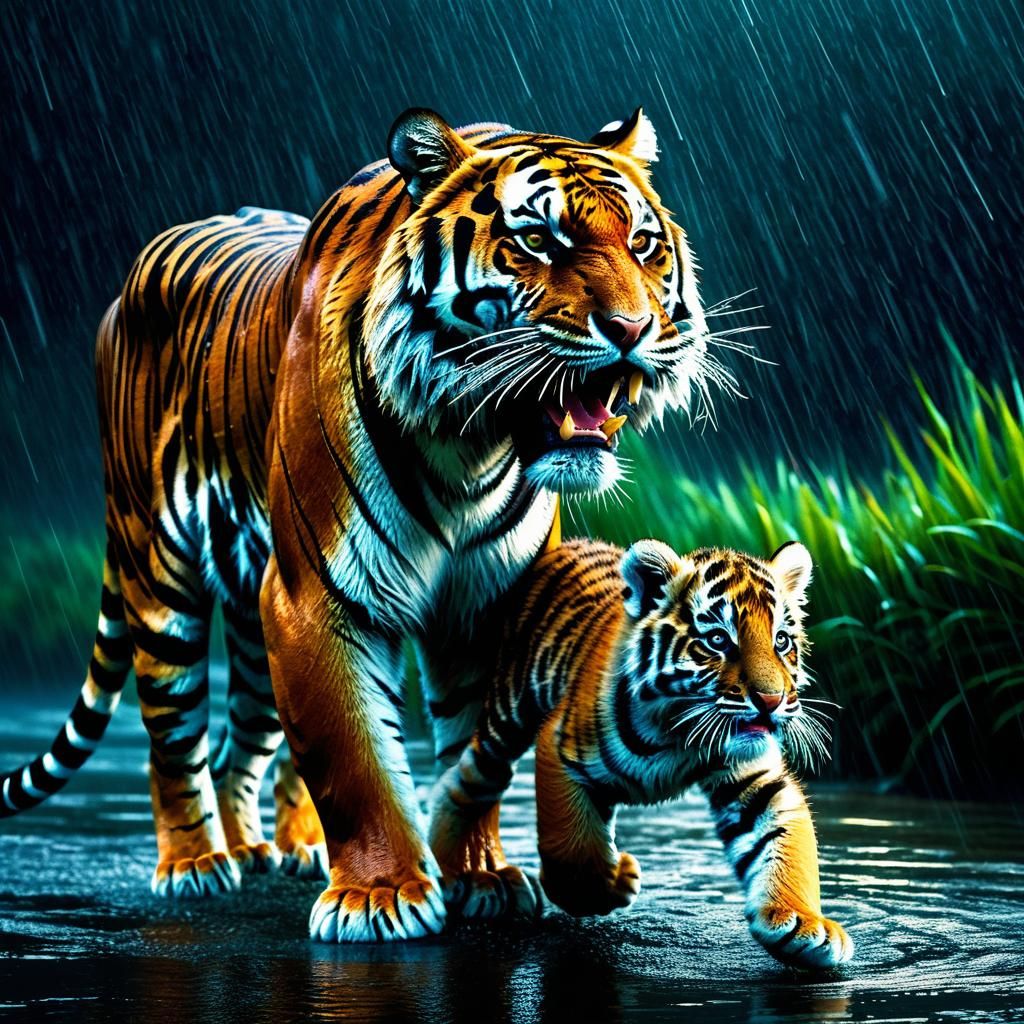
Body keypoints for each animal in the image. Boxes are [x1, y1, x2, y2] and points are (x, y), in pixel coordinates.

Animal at [0, 109, 712, 942]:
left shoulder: (484, 604)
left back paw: (273, 850)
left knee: (241, 742)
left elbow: (475, 753)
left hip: (250, 614)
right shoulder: (315, 597)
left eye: (643, 244)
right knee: (172, 736)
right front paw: (381, 895)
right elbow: (352, 754)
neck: (471, 444)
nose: (631, 328)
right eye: (538, 239)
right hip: (160, 572)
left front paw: (478, 873)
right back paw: (196, 865)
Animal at [430, 538, 854, 969]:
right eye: (718, 640)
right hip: (508, 716)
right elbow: (571, 851)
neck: (679, 732)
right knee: (465, 779)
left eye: (781, 640)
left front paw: (804, 924)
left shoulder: (755, 776)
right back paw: (458, 876)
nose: (771, 700)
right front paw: (613, 884)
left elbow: (786, 841)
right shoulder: (559, 748)